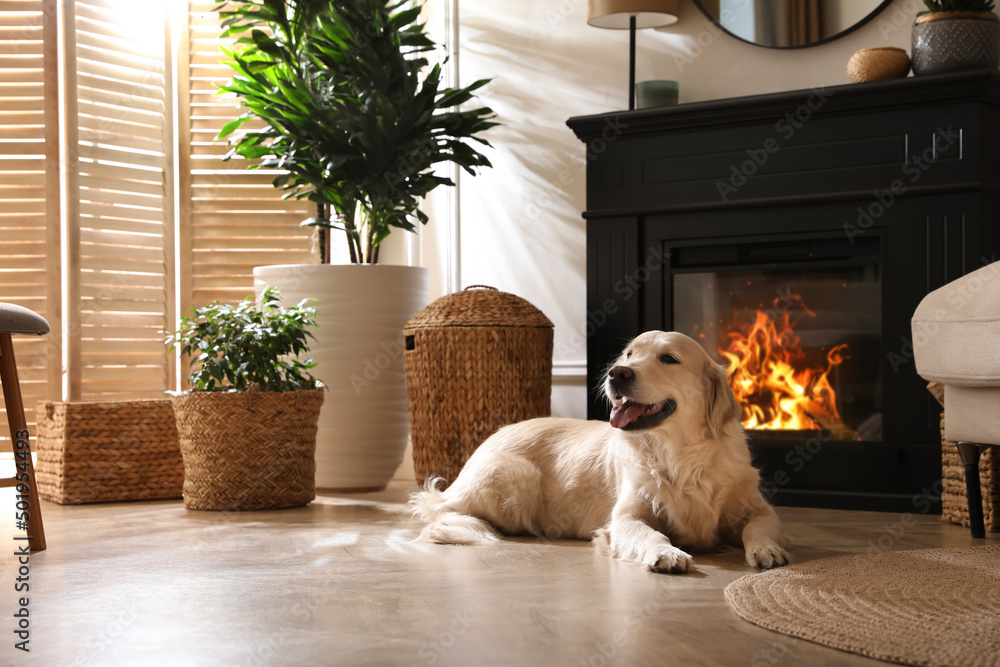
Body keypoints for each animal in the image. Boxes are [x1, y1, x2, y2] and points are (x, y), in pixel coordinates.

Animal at [408, 332, 788, 572]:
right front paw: (665, 552)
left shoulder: (757, 508)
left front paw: (768, 549)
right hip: (512, 478)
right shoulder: (625, 518)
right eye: (629, 354)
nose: (616, 373)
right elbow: (651, 532)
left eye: (669, 358)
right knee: (446, 512)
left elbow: (758, 527)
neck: (678, 455)